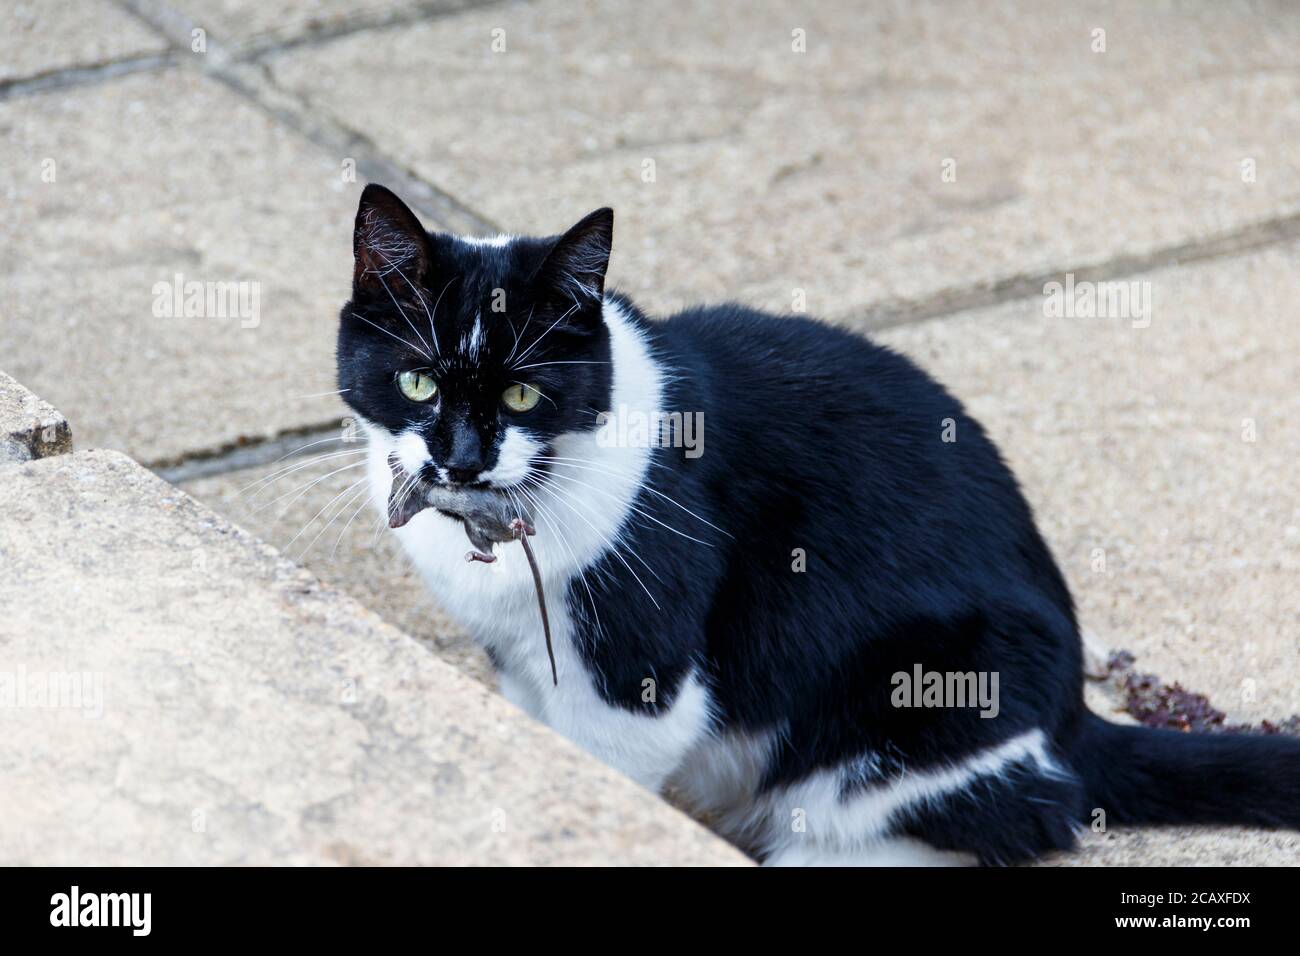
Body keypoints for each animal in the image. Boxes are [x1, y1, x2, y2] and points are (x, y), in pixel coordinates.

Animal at [338, 187, 1300, 868]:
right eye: (418, 381)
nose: (461, 461)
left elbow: (607, 768)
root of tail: (1073, 715)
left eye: (522, 394)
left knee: (1020, 816)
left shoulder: (642, 676)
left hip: (942, 683)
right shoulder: (519, 666)